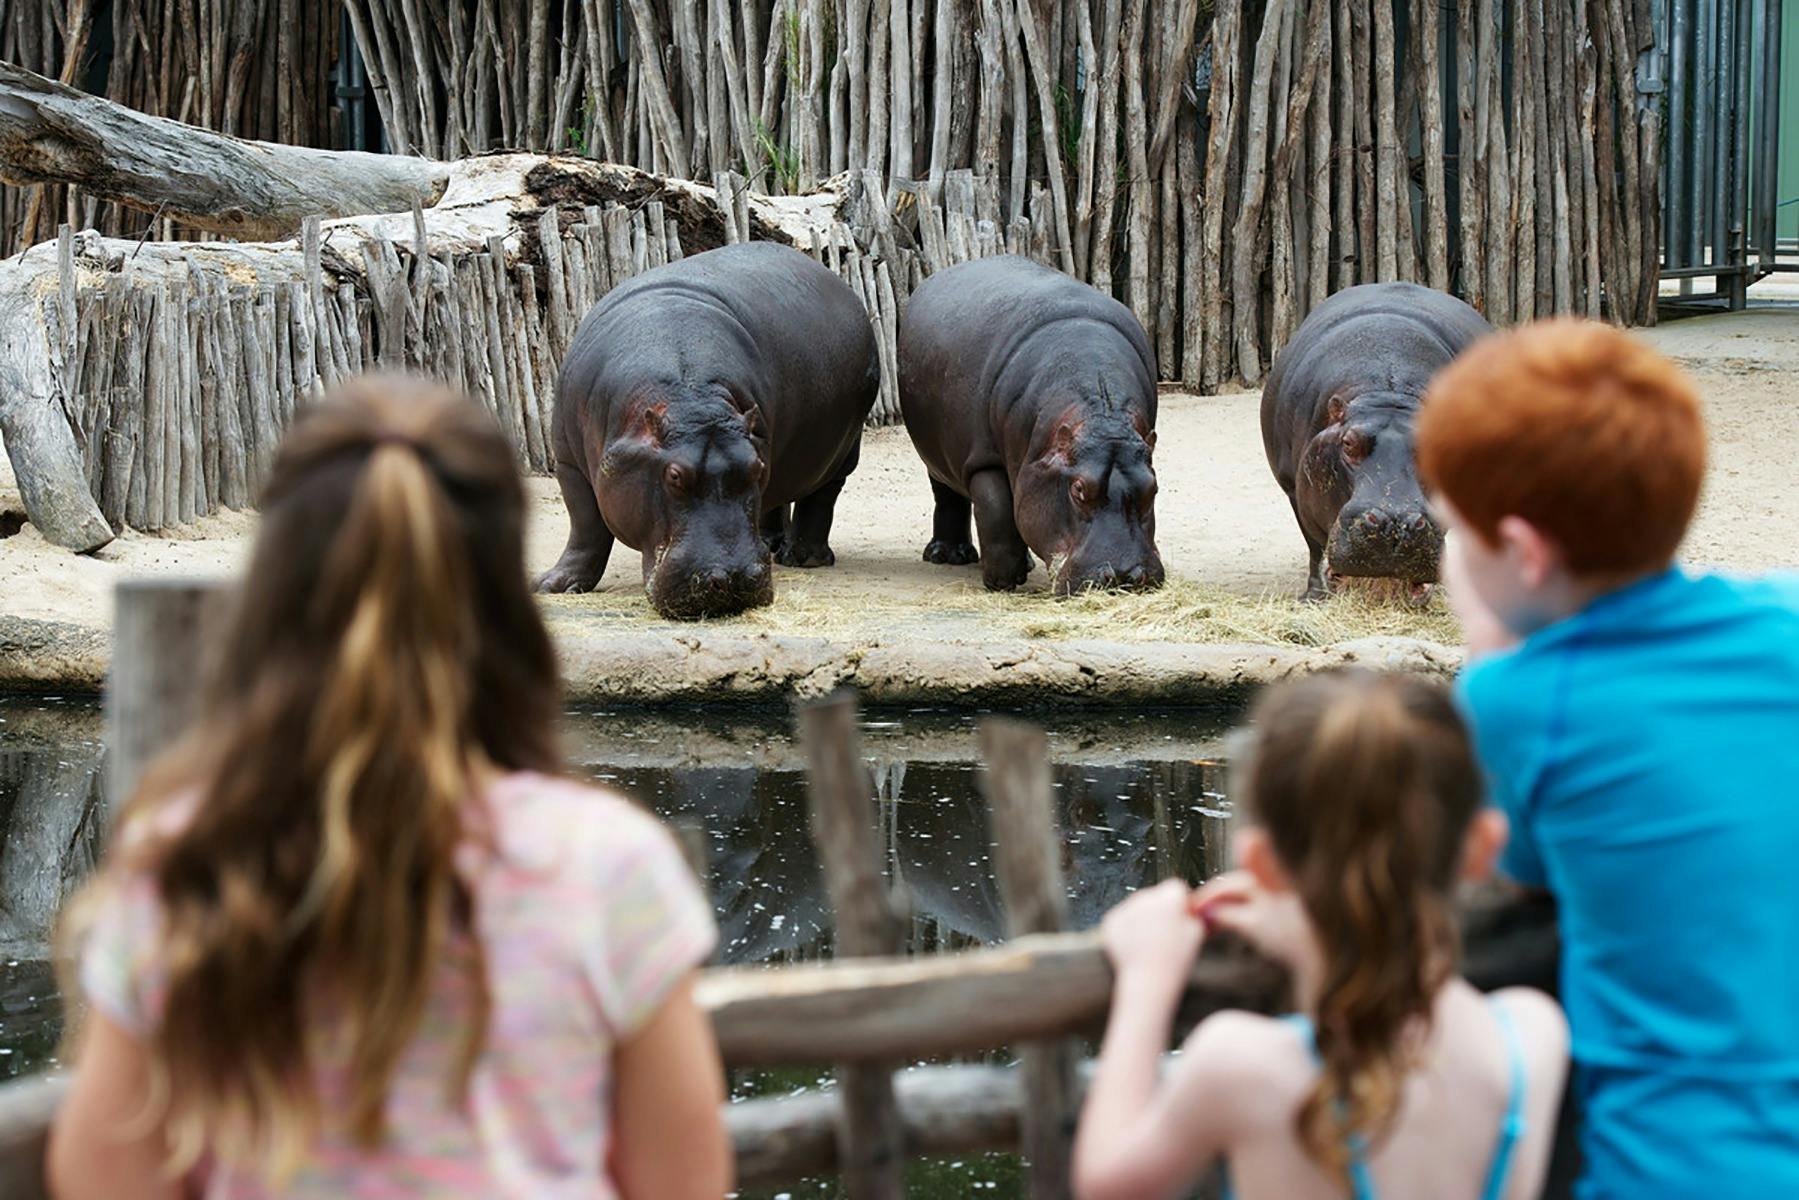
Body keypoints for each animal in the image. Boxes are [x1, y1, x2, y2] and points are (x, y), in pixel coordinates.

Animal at [535, 241, 878, 619]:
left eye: (754, 469)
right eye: (673, 476)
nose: (733, 578)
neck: (689, 397)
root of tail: (839, 285)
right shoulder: (568, 464)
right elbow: (585, 525)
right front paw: (554, 586)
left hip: (843, 450)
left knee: (822, 496)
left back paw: (803, 558)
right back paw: (772, 543)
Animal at [897, 255, 1164, 594]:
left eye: (1153, 488)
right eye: (1078, 488)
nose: (1124, 575)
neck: (1101, 417)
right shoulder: (985, 460)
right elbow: (996, 511)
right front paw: (1002, 582)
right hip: (937, 458)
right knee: (948, 495)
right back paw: (948, 556)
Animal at [1260, 282, 1492, 603]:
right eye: (1347, 443)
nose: (1394, 521)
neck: (1387, 390)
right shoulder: (1295, 488)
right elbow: (1314, 545)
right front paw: (1313, 597)